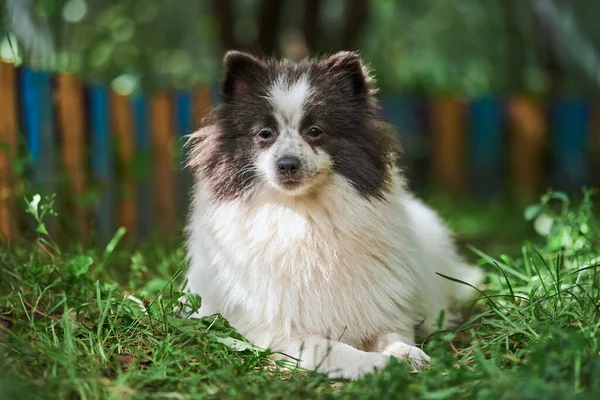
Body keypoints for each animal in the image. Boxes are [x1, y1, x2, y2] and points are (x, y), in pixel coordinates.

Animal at [182, 51, 482, 380]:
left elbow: (393, 334)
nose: (287, 164)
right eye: (264, 134)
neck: (303, 216)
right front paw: (372, 363)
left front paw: (405, 353)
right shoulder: (279, 334)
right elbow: (328, 348)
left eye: (315, 131)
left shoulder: (382, 308)